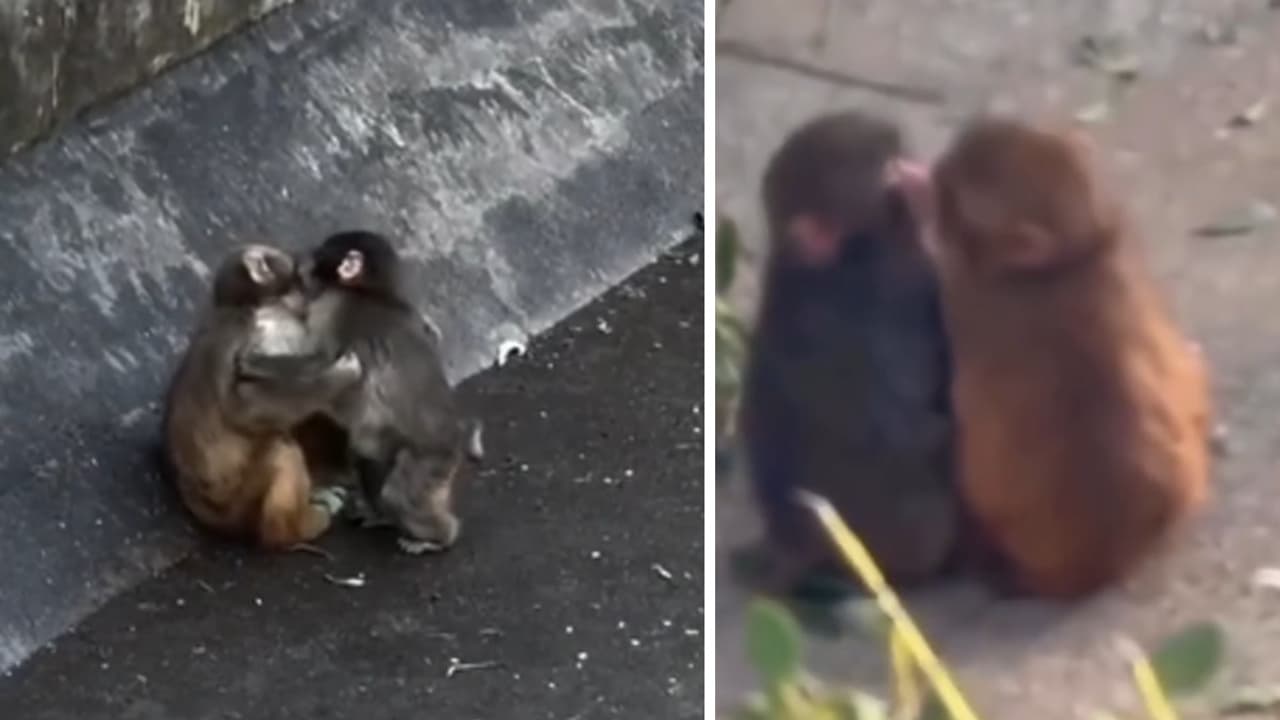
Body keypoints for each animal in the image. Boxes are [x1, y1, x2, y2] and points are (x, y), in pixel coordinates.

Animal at [162, 244, 364, 550]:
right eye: (297, 275)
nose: (310, 286)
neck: (254, 305)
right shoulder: (264, 329)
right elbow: (245, 403)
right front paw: (341, 375)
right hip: (239, 503)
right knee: (281, 447)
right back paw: (291, 531)